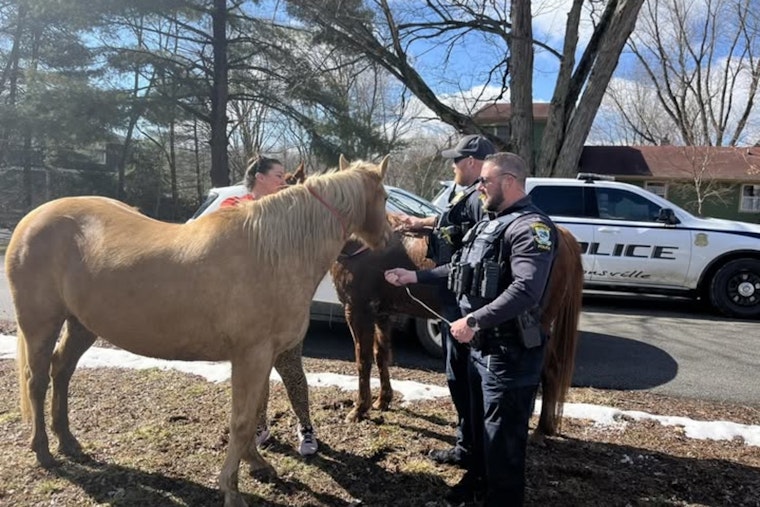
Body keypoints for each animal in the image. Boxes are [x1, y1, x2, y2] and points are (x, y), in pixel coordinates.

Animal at [6, 156, 392, 507]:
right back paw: (43, 451)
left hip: (81, 325)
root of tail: (29, 221)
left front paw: (258, 464)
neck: (273, 252)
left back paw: (69, 442)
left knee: (61, 371)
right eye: (386, 197)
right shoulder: (251, 356)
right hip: (40, 324)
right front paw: (232, 489)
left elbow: (254, 412)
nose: (388, 242)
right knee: (36, 381)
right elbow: (241, 421)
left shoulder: (263, 356)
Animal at [331, 222, 583, 438]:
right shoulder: (381, 314)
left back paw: (540, 430)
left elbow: (362, 361)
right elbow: (381, 356)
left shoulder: (358, 310)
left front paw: (359, 409)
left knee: (549, 371)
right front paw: (382, 401)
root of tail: (561, 235)